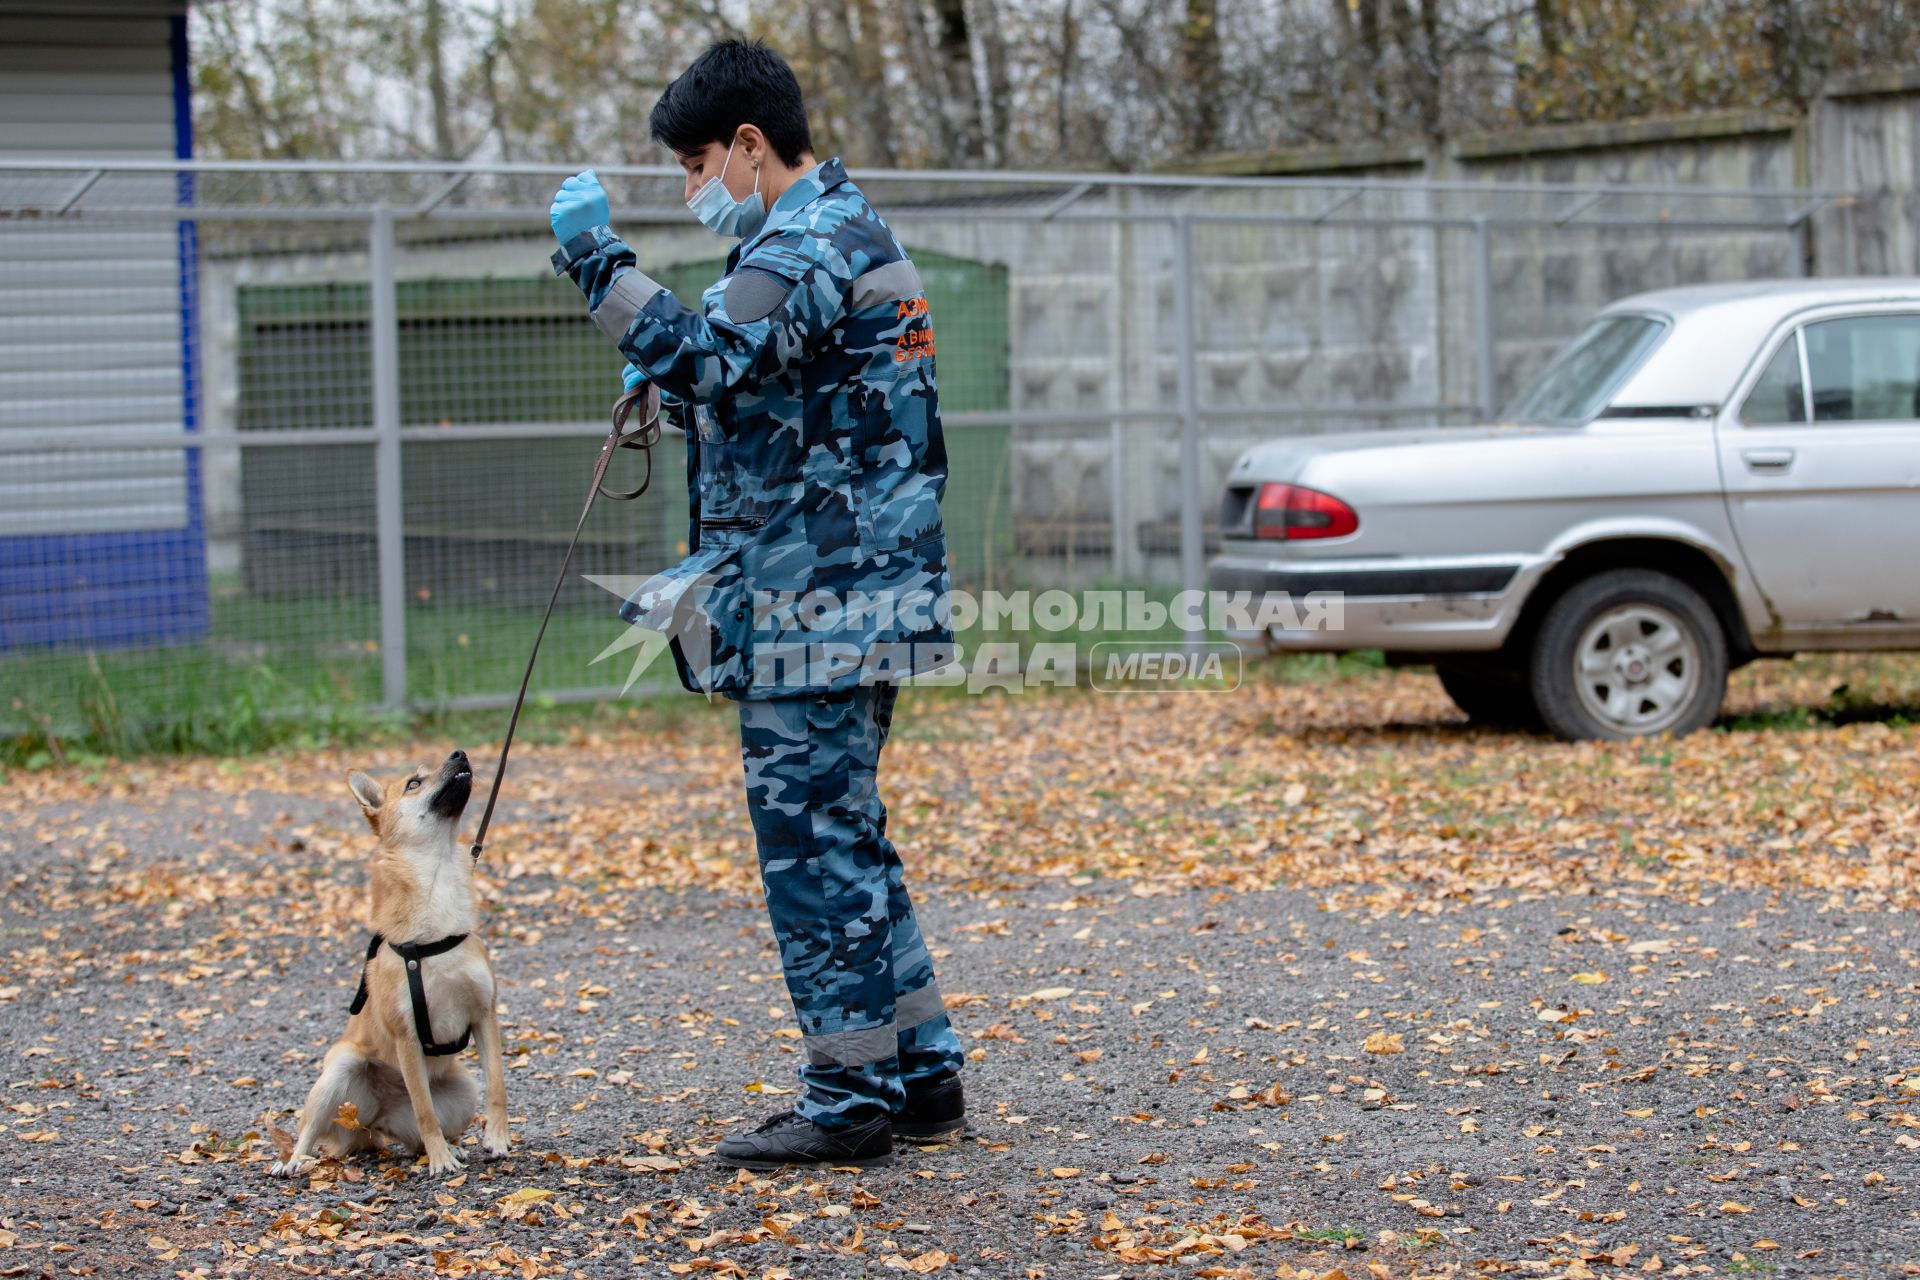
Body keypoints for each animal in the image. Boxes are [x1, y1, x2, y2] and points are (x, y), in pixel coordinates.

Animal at [274, 752, 510, 1182]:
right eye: (413, 783)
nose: (459, 753)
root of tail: (373, 1122)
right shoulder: (407, 1037)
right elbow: (424, 1110)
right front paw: (440, 1162)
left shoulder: (485, 1015)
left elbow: (497, 1088)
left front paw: (497, 1139)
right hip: (339, 1071)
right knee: (312, 1130)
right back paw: (295, 1159)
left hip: (463, 1090)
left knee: (418, 1134)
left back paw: (450, 1146)